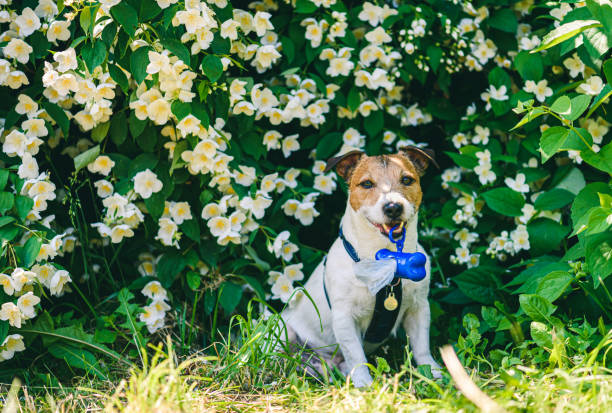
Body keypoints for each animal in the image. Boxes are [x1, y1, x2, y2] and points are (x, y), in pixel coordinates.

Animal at [280, 147, 442, 386]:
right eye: (366, 184)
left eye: (406, 180)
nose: (393, 207)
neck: (387, 260)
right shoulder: (344, 317)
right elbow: (356, 355)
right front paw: (365, 384)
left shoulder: (418, 307)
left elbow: (422, 346)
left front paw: (433, 372)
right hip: (281, 330)